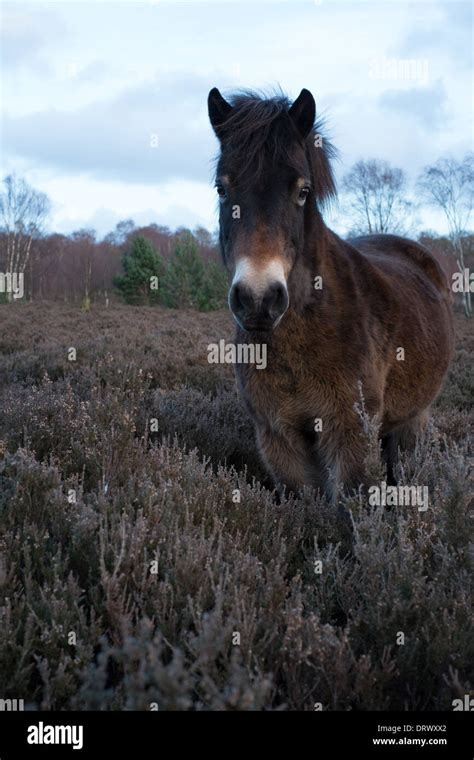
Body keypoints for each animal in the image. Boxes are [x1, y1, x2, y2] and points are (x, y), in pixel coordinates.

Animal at [208, 87, 456, 498]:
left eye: (303, 191)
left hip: (414, 421)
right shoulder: (279, 440)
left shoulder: (349, 436)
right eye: (222, 188)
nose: (259, 300)